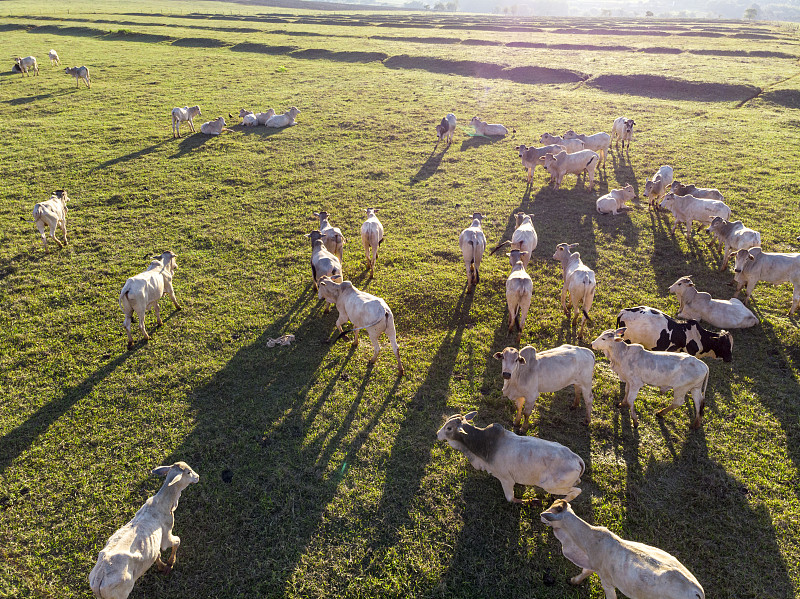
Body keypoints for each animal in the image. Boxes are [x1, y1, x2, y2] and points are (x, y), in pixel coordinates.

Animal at [440, 410, 584, 504]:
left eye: (448, 428)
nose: (437, 434)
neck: (483, 443)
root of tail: (576, 459)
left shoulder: (506, 479)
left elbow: (511, 499)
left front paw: (533, 501)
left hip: (551, 485)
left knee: (576, 491)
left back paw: (559, 502)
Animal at [536, 502, 708, 599]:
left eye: (549, 511)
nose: (541, 516)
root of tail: (697, 591)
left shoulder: (606, 580)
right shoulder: (592, 564)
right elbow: (584, 572)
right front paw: (573, 581)